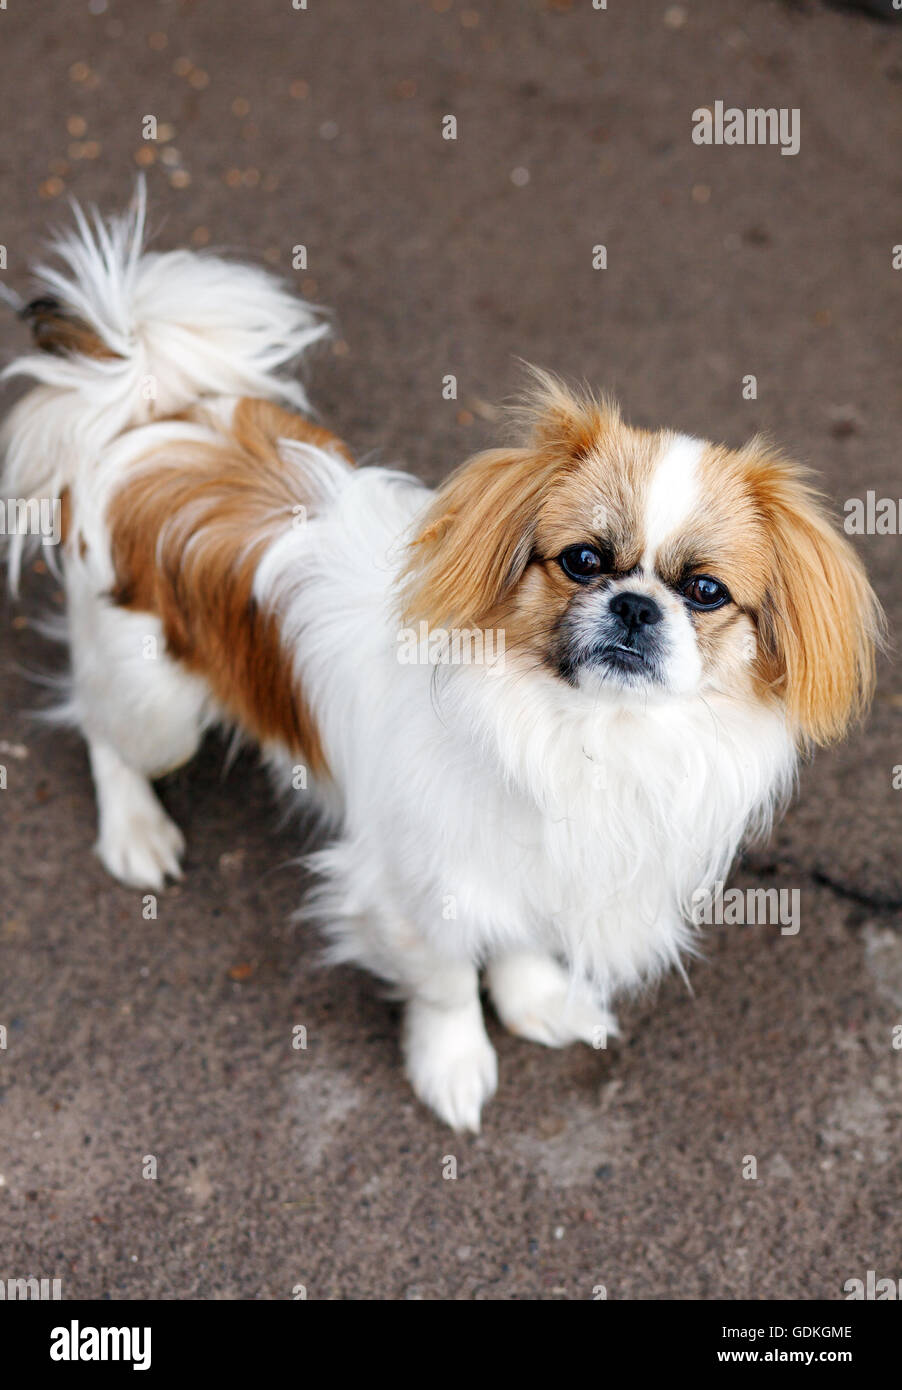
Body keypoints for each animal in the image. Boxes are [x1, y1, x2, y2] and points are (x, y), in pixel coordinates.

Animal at [1, 190, 878, 1128]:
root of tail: (150, 418)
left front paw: (535, 1002)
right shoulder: (416, 887)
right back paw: (134, 830)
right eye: (582, 562)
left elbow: (521, 942)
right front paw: (453, 1066)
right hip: (155, 700)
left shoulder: (538, 871)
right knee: (104, 736)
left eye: (706, 591)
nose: (637, 606)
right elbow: (450, 981)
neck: (588, 731)